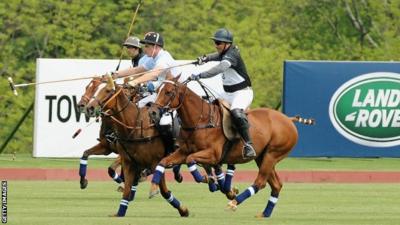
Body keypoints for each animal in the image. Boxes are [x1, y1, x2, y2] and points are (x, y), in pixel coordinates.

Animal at [85, 76, 188, 218]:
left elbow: (164, 191)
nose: (89, 107)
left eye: (107, 90)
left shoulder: (155, 162)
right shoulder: (126, 159)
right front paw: (120, 211)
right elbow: (127, 187)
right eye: (92, 89)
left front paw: (183, 210)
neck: (134, 126)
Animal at [148, 77, 314, 218]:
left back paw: (234, 202)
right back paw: (264, 213)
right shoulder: (183, 151)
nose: (152, 112)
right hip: (262, 156)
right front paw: (154, 187)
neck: (200, 121)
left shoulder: (212, 154)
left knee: (260, 182)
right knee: (276, 185)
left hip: (272, 154)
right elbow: (163, 162)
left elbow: (191, 160)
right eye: (157, 90)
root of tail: (288, 119)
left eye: (169, 92)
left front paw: (206, 179)